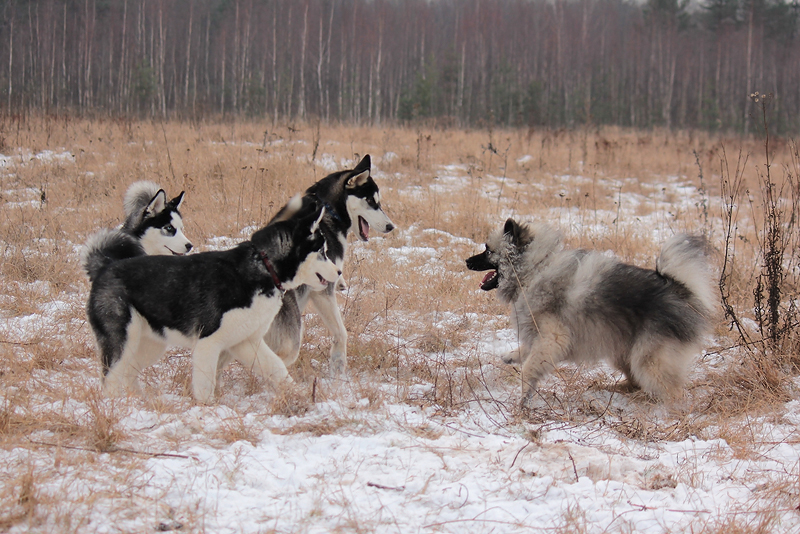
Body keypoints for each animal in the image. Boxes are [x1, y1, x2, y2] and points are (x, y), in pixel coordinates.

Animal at [466, 219, 716, 406]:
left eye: (488, 250)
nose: (467, 260)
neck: (533, 270)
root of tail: (680, 291)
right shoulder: (542, 336)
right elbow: (527, 350)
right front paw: (511, 356)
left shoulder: (553, 338)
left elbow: (530, 368)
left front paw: (522, 399)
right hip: (624, 352)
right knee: (635, 381)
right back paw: (616, 390)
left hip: (648, 360)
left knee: (674, 393)